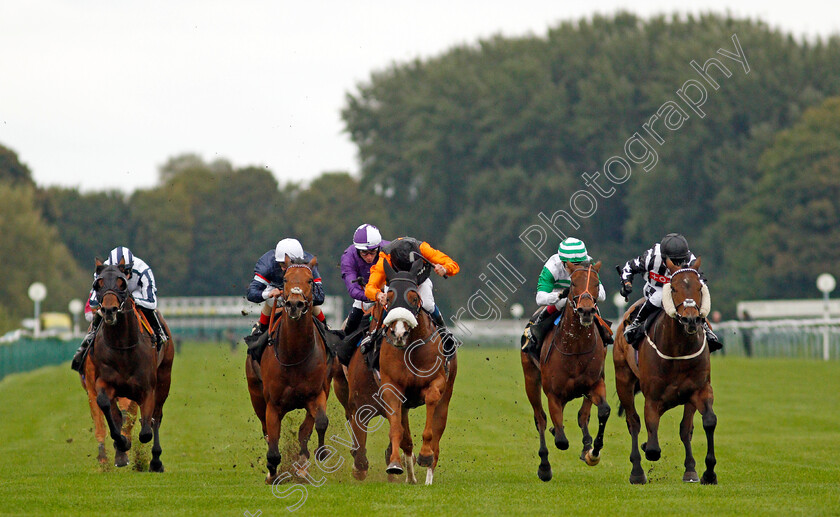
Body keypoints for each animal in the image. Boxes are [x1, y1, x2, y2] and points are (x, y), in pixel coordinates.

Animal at [88, 258, 174, 472]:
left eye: (122, 283)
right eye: (98, 284)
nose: (109, 311)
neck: (122, 346)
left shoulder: (148, 388)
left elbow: (146, 430)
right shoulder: (104, 382)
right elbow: (108, 408)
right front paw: (122, 444)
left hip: (165, 378)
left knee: (156, 418)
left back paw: (155, 461)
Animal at [243, 256, 332, 484]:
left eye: (309, 280)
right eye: (285, 279)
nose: (294, 304)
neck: (294, 355)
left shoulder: (317, 394)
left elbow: (318, 424)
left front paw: (316, 456)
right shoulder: (273, 404)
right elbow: (273, 444)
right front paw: (272, 471)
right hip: (256, 395)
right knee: (266, 431)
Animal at [378, 260, 456, 486]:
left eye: (414, 297)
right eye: (388, 298)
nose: (399, 333)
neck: (411, 349)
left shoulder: (436, 383)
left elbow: (430, 428)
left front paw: (425, 455)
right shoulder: (391, 387)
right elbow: (397, 430)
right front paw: (395, 464)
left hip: (446, 398)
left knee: (437, 432)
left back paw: (428, 473)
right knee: (406, 438)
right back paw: (410, 475)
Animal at [520, 262, 612, 480]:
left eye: (596, 283)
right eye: (573, 284)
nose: (586, 310)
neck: (575, 345)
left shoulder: (595, 383)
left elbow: (602, 411)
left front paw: (593, 451)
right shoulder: (553, 393)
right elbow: (561, 439)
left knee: (582, 415)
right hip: (530, 379)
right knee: (540, 419)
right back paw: (544, 466)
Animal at [612, 258, 716, 484]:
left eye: (699, 286)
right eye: (674, 287)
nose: (690, 320)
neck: (678, 349)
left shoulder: (698, 389)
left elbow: (704, 423)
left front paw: (706, 472)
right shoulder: (653, 397)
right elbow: (652, 447)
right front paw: (645, 449)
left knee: (685, 429)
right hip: (623, 380)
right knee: (633, 423)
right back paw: (637, 472)